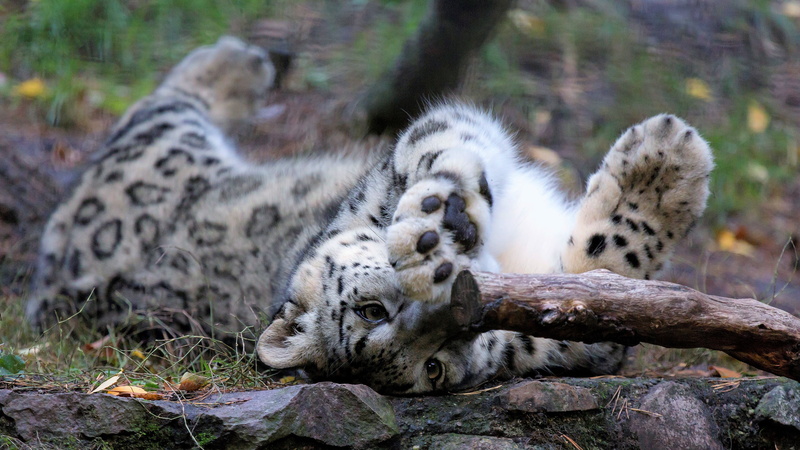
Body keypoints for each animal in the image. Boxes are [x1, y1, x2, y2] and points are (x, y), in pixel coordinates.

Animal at [26, 36, 714, 394]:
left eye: (371, 310)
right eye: (432, 367)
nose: (454, 312)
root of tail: (50, 287)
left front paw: (435, 227)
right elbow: (605, 279)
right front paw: (666, 164)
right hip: (154, 156)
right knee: (162, 103)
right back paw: (240, 62)